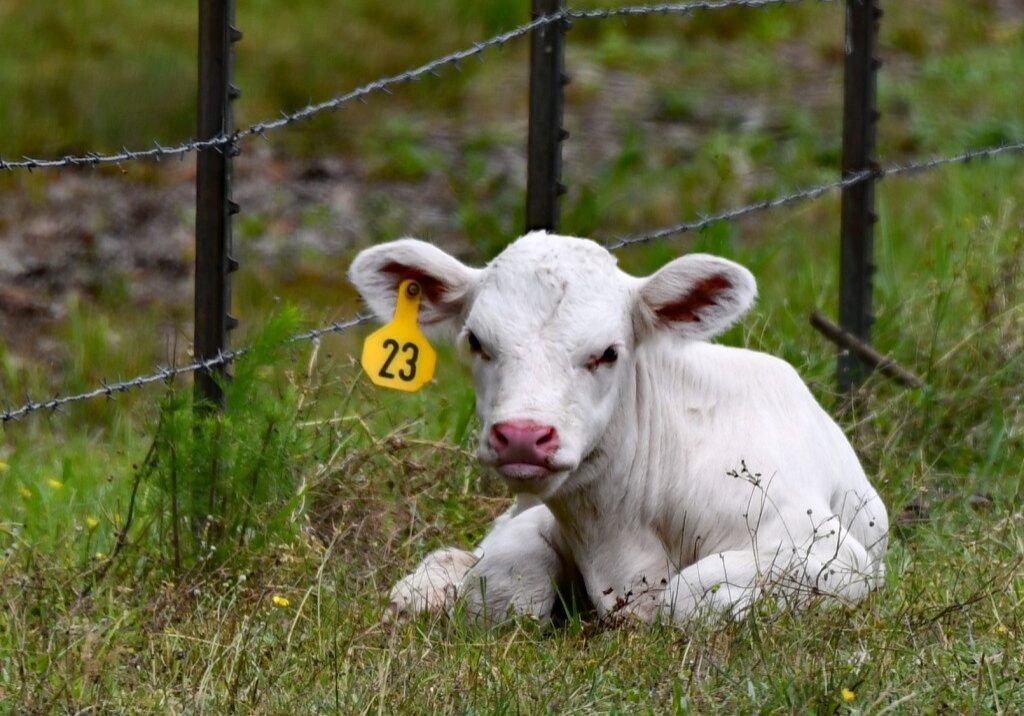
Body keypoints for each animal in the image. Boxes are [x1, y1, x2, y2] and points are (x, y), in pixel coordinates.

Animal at [349, 231, 889, 626]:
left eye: (608, 352)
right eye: (477, 341)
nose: (522, 436)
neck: (617, 533)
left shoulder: (828, 551)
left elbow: (689, 596)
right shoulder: (535, 520)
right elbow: (505, 589)